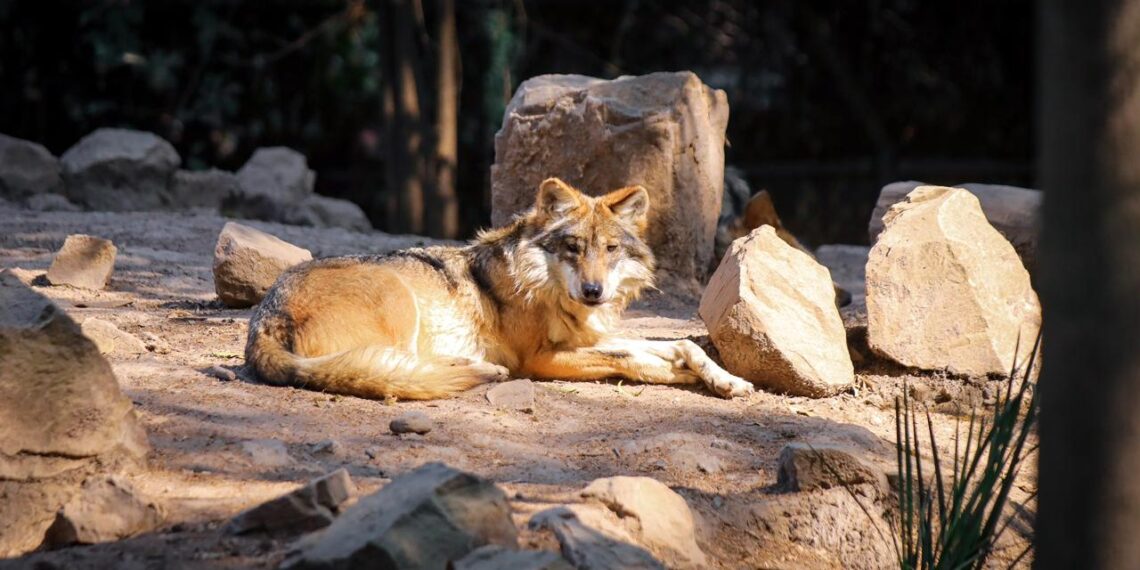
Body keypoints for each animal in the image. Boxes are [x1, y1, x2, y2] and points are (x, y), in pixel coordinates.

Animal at [245, 178, 756, 401]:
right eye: (573, 247)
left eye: (610, 249)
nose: (593, 291)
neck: (542, 286)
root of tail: (261, 320)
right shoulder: (543, 359)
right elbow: (631, 358)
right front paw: (682, 375)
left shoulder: (592, 335)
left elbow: (682, 344)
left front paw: (723, 378)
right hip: (398, 297)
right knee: (390, 368)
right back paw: (480, 369)